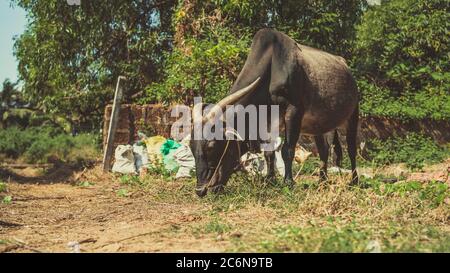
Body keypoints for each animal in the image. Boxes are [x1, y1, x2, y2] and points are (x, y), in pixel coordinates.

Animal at [190, 29, 358, 196]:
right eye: (191, 146)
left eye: (212, 146)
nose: (200, 190)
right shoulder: (267, 123)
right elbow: (269, 153)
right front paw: (270, 180)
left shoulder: (294, 112)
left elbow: (287, 150)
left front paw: (288, 182)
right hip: (317, 125)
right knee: (324, 150)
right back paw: (322, 181)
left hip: (352, 115)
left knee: (351, 149)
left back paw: (354, 181)